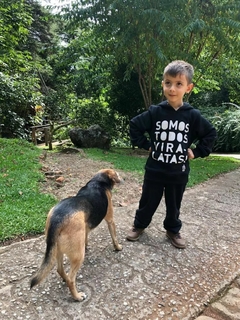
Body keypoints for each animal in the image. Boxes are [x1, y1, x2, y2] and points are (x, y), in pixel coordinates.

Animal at [30, 169, 123, 302]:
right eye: (117, 174)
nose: (123, 178)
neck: (97, 182)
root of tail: (57, 219)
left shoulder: (86, 227)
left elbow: (86, 237)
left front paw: (87, 245)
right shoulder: (110, 219)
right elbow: (114, 237)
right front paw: (118, 247)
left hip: (57, 249)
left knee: (60, 269)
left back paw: (64, 279)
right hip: (78, 255)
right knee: (71, 279)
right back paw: (77, 296)